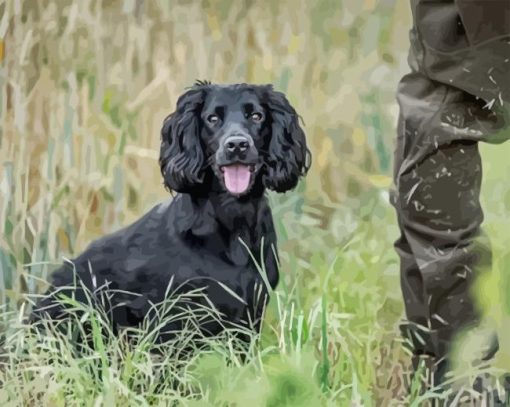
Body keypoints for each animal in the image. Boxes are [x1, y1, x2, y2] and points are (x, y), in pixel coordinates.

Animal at [32, 82, 310, 344]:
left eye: (256, 116)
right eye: (213, 118)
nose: (237, 145)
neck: (232, 223)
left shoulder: (248, 316)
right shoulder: (170, 319)